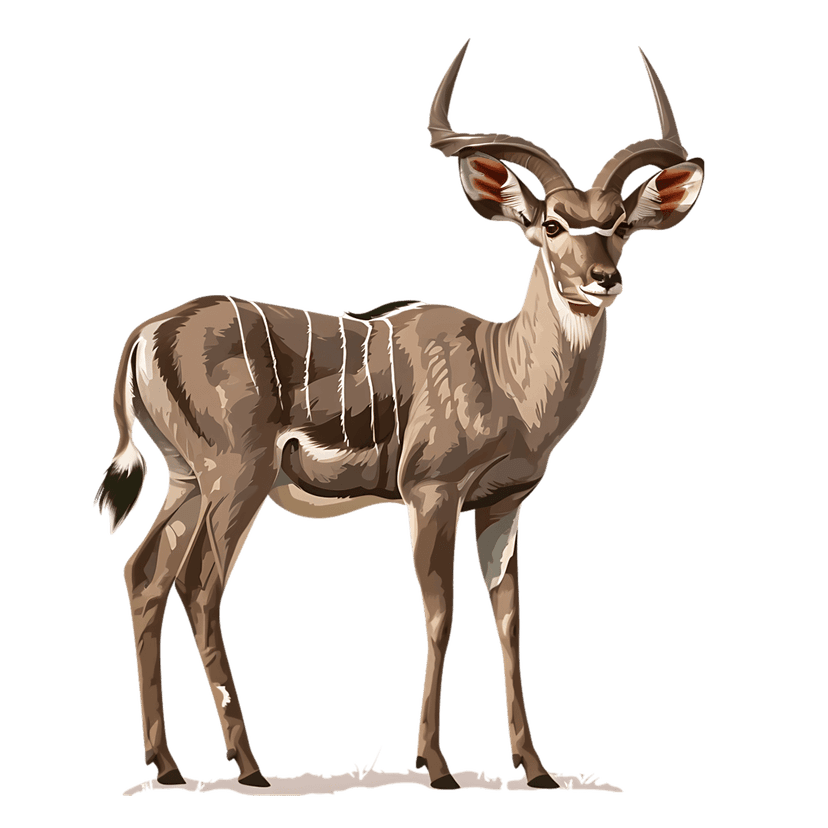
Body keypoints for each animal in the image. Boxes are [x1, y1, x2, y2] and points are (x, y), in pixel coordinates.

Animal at [93, 40, 705, 791]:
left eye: (620, 225)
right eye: (552, 225)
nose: (604, 279)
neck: (504, 375)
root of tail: (149, 331)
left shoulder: (503, 506)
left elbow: (509, 620)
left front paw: (535, 768)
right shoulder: (431, 493)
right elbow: (441, 614)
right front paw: (436, 765)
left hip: (185, 480)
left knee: (145, 577)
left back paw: (169, 765)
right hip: (237, 477)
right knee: (200, 586)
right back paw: (248, 765)